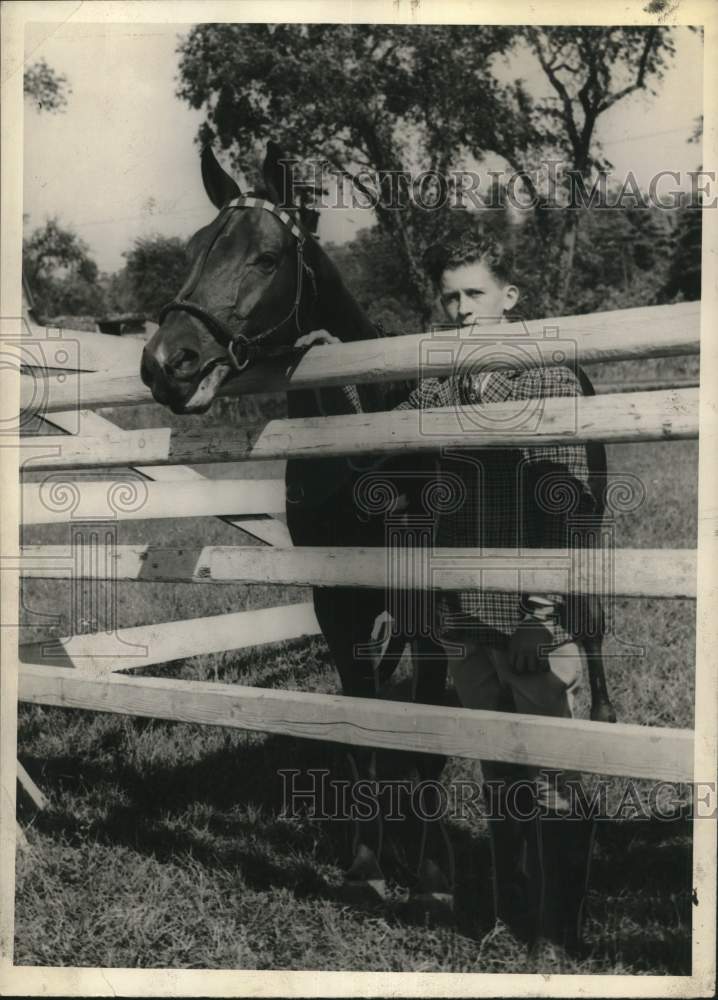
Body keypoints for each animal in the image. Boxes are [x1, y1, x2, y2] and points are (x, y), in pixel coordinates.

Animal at [141, 139, 452, 908]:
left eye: (267, 256)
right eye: (194, 247)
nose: (166, 364)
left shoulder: (431, 607)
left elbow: (430, 734)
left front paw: (433, 875)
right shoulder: (337, 605)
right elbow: (365, 729)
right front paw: (368, 863)